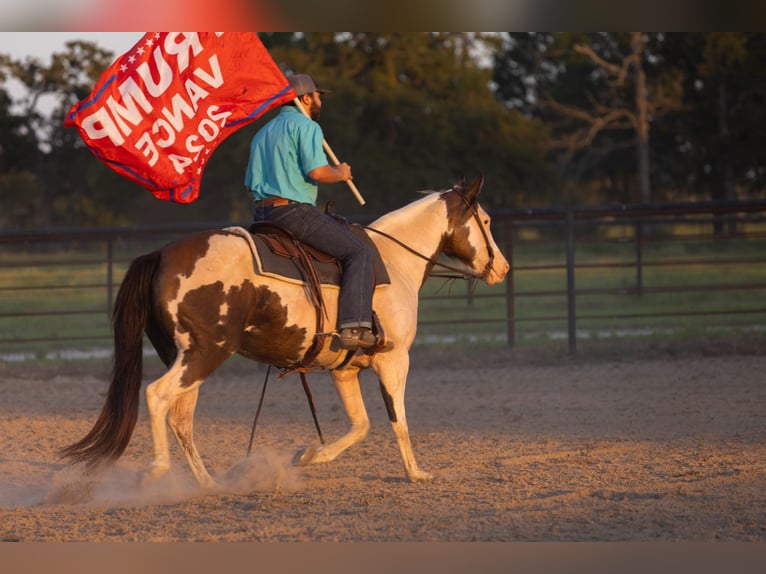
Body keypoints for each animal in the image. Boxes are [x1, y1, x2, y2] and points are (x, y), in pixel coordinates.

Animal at [61, 174, 510, 487]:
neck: (392, 260)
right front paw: (416, 473)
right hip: (205, 353)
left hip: (187, 358)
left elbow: (360, 425)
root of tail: (162, 254)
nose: (502, 268)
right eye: (486, 220)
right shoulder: (394, 359)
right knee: (157, 397)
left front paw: (307, 456)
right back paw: (157, 470)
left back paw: (207, 483)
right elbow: (397, 419)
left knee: (181, 416)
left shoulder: (345, 369)